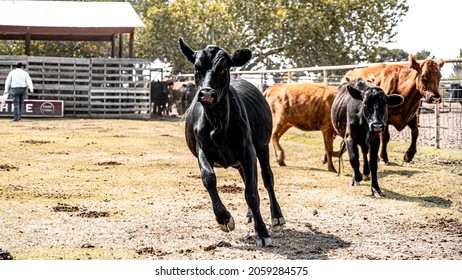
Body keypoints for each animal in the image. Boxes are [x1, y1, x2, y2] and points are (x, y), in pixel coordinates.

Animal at [178, 37, 284, 247]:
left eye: (223, 69)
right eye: (196, 68)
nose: (207, 94)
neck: (218, 124)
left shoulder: (247, 150)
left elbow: (252, 193)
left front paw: (262, 232)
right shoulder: (202, 150)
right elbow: (209, 178)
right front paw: (224, 218)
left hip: (263, 147)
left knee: (267, 178)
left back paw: (276, 216)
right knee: (247, 180)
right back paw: (250, 215)